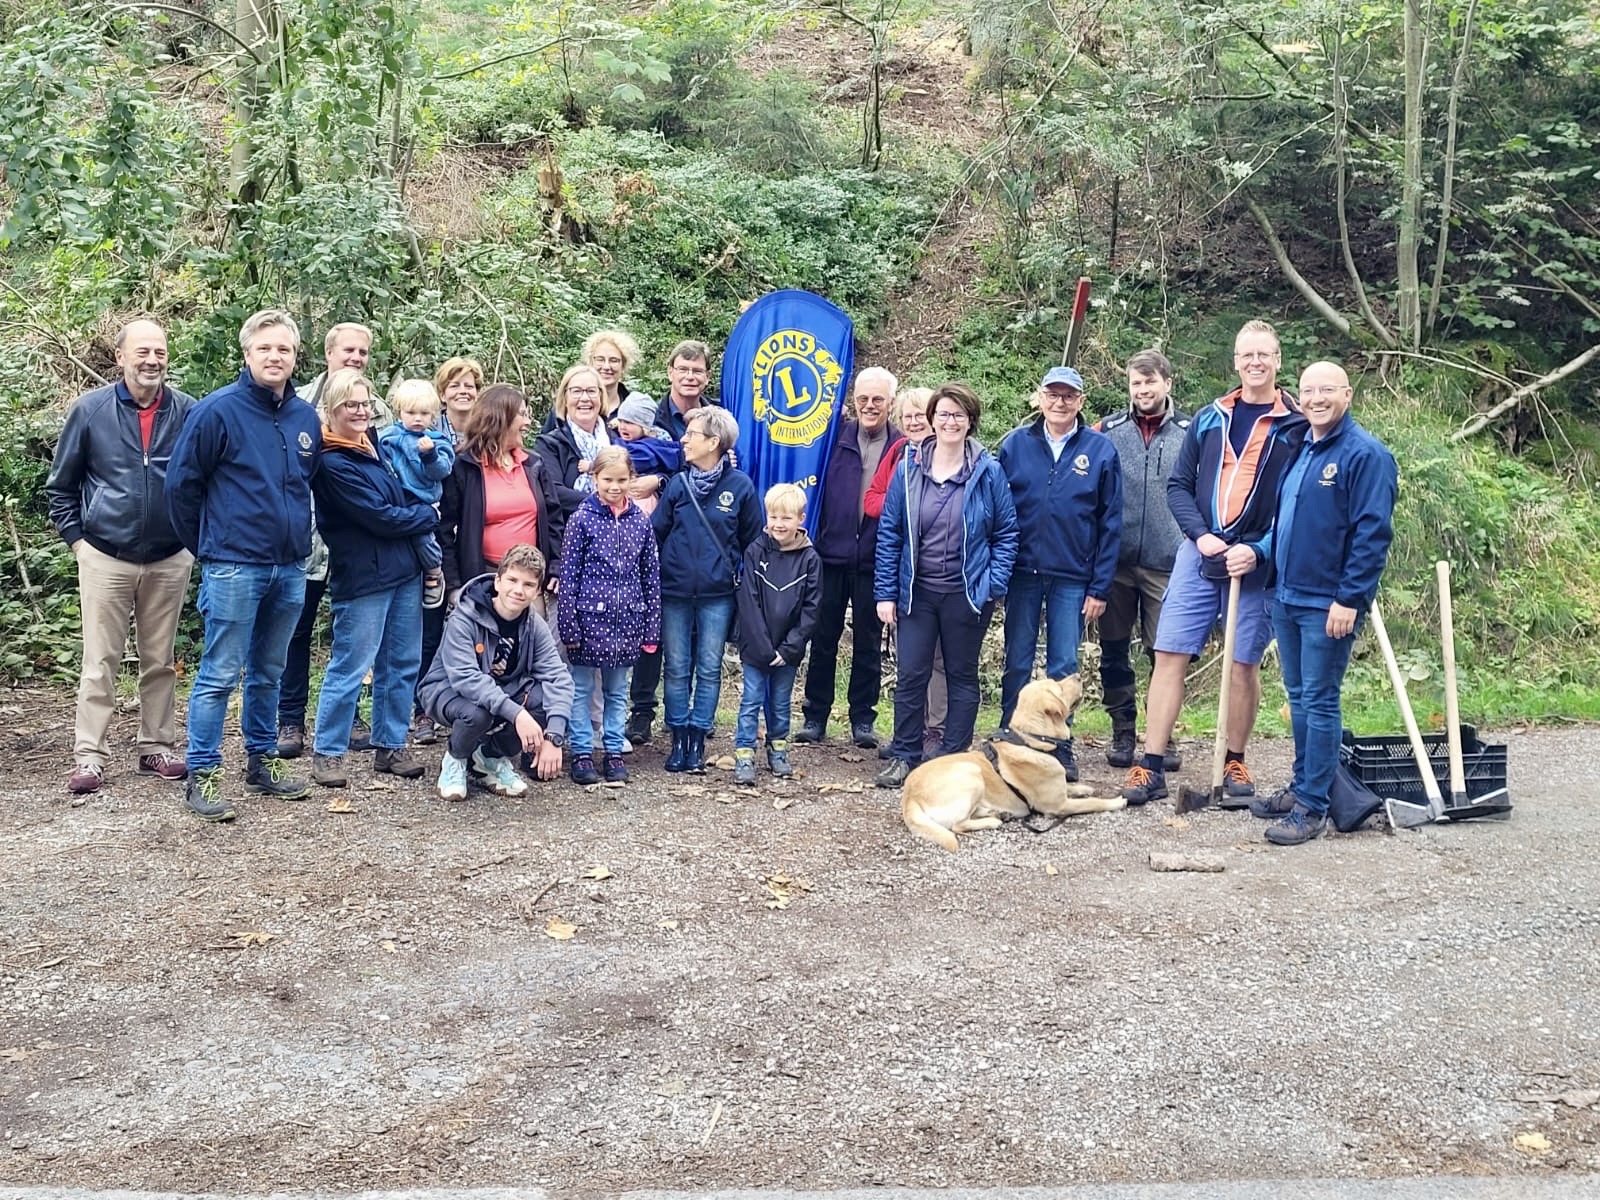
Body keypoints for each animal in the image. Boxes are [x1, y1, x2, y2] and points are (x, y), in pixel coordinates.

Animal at [902, 678, 1126, 857]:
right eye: (1059, 688)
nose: (1078, 676)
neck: (1031, 742)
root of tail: (909, 798)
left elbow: (1073, 787)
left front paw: (1083, 788)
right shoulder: (1059, 806)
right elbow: (1094, 803)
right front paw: (1116, 801)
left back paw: (999, 814)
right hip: (971, 774)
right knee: (958, 824)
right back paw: (994, 821)